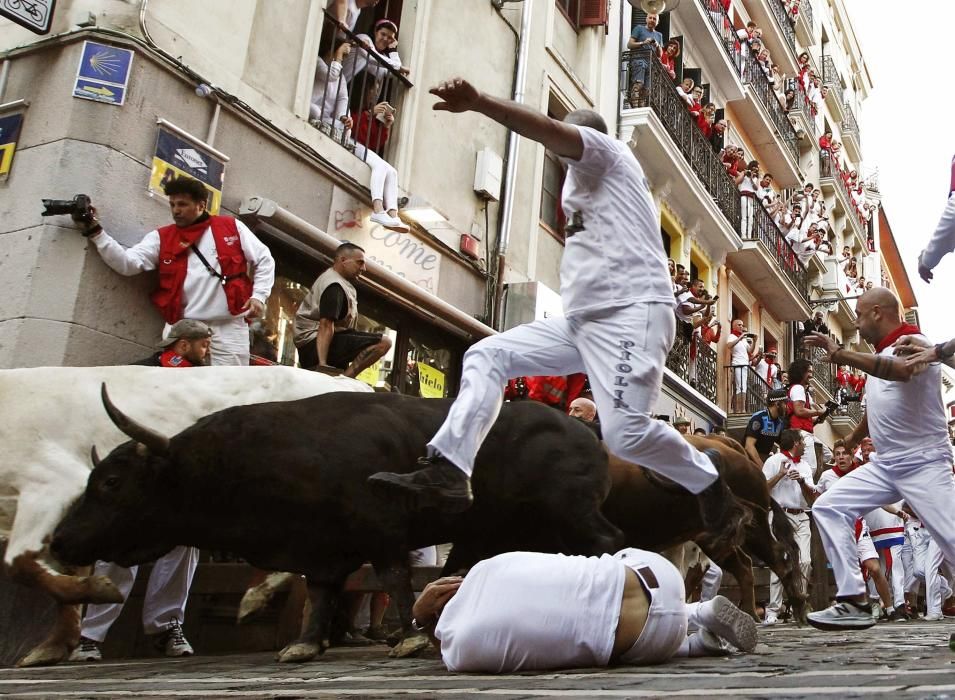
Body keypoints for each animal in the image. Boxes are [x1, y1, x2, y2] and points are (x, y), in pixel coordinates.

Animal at [0, 366, 370, 668]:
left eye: (111, 482)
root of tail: (344, 383)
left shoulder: (50, 482)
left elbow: (20, 564)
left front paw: (97, 591)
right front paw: (56, 643)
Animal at [52, 392, 624, 664]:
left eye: (112, 482)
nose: (59, 540)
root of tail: (586, 435)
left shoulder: (382, 530)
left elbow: (391, 578)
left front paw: (407, 640)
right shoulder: (322, 549)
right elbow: (322, 593)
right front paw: (306, 643)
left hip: (572, 514)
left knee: (608, 542)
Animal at [604, 432, 808, 624]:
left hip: (746, 530)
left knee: (776, 557)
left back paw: (796, 609)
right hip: (719, 540)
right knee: (743, 564)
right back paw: (751, 613)